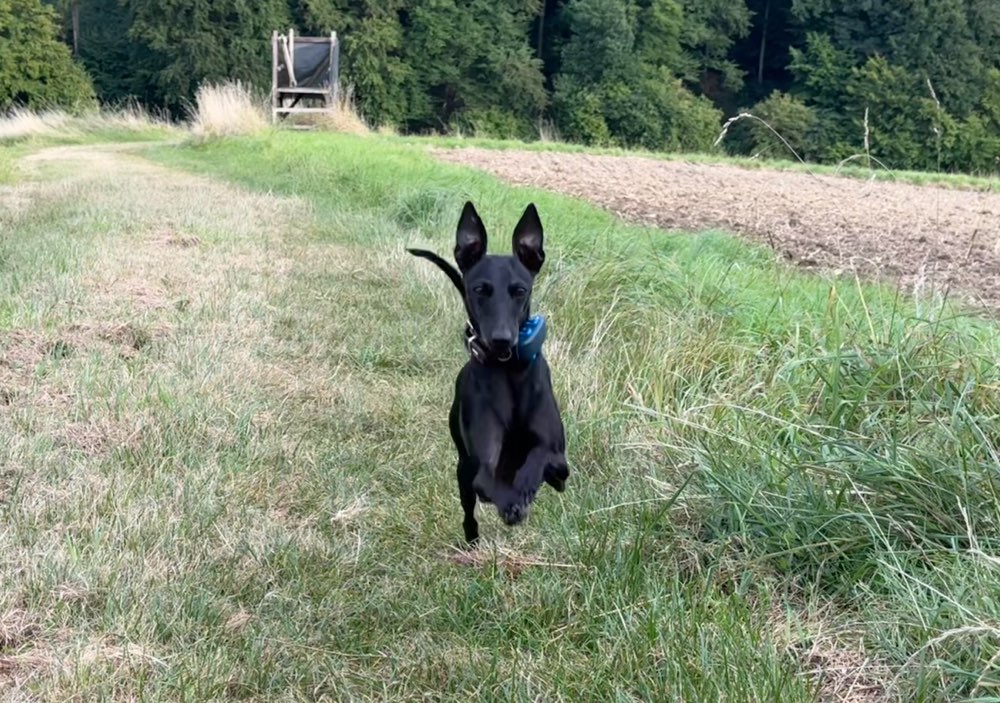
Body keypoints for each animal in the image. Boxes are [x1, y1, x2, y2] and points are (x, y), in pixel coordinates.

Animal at [410, 202, 572, 544]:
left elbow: (542, 462)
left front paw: (522, 492)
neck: (509, 371)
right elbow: (487, 481)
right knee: (469, 506)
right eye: (480, 289)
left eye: (520, 290)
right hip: (461, 470)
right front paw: (511, 501)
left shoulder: (558, 458)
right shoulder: (482, 463)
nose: (501, 340)